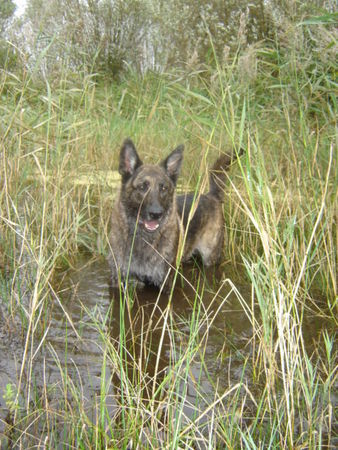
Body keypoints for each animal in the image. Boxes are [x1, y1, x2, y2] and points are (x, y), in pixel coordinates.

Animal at [109, 139, 240, 290]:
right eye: (142, 187)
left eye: (164, 188)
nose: (156, 214)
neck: (143, 237)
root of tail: (211, 195)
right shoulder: (117, 280)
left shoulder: (165, 283)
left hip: (210, 258)